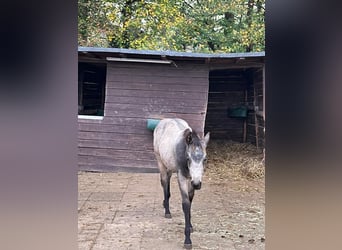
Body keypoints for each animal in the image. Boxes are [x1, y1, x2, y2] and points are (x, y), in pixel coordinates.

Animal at [154, 118, 210, 249]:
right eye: (188, 158)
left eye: (205, 159)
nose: (197, 184)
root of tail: (162, 122)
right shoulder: (183, 178)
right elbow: (185, 204)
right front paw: (187, 240)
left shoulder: (191, 180)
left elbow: (190, 202)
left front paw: (190, 226)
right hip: (161, 162)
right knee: (164, 183)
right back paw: (167, 211)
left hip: (169, 166)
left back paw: (165, 203)